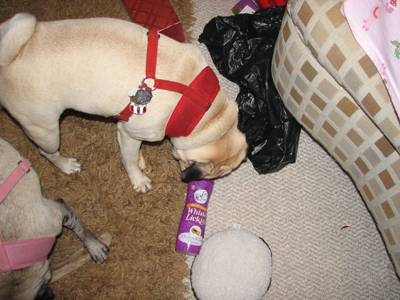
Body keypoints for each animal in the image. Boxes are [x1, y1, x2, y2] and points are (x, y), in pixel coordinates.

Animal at [0, 13, 247, 192]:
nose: (194, 181)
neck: (206, 111)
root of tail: (10, 59)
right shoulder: (130, 134)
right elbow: (130, 161)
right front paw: (138, 180)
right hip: (45, 130)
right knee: (47, 153)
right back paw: (67, 165)